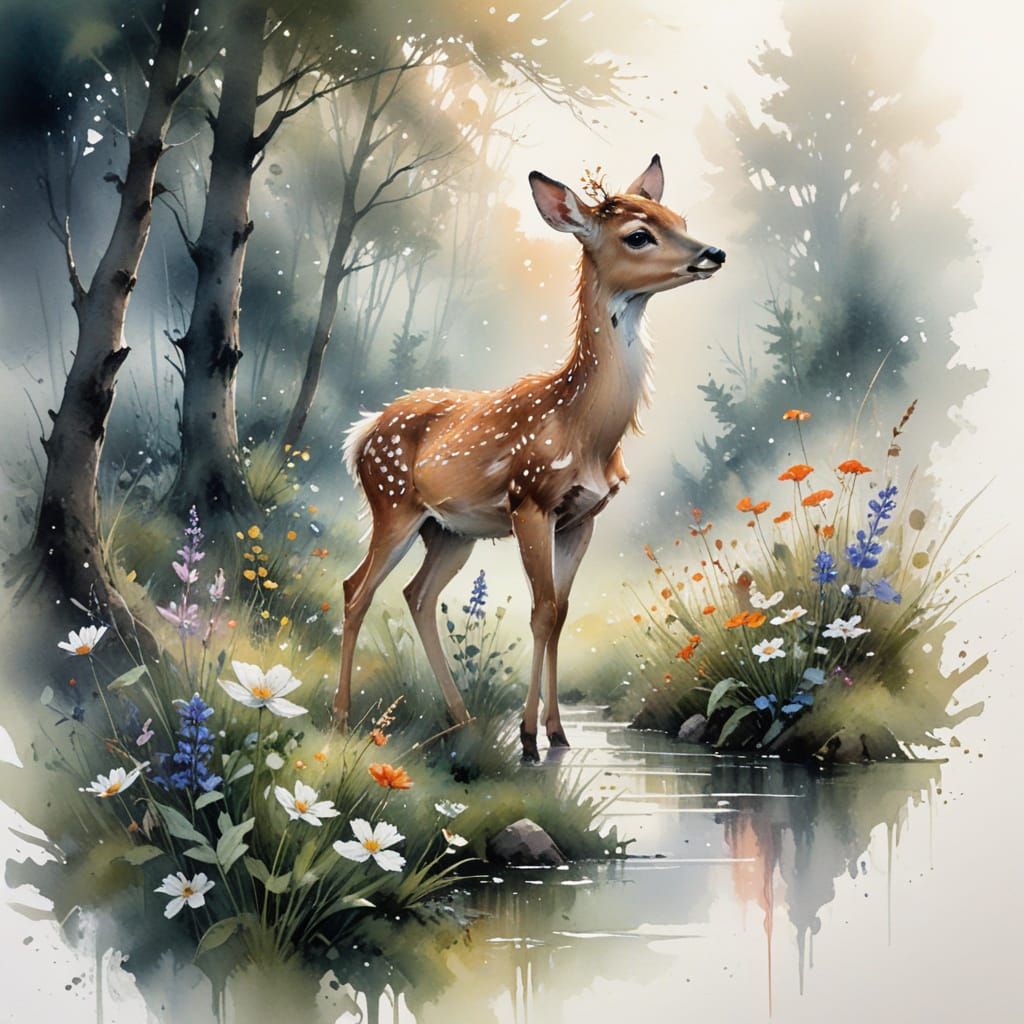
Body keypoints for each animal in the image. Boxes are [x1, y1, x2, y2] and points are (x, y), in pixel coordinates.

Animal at [333, 155, 726, 762]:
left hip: (450, 531)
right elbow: (540, 611)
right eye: (639, 235)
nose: (713, 252)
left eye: (678, 218)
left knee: (417, 595)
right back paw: (343, 719)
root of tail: (363, 433)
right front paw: (527, 738)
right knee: (358, 588)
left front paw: (557, 733)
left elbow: (559, 614)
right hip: (393, 503)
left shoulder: (582, 518)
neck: (586, 430)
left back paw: (463, 720)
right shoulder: (530, 501)